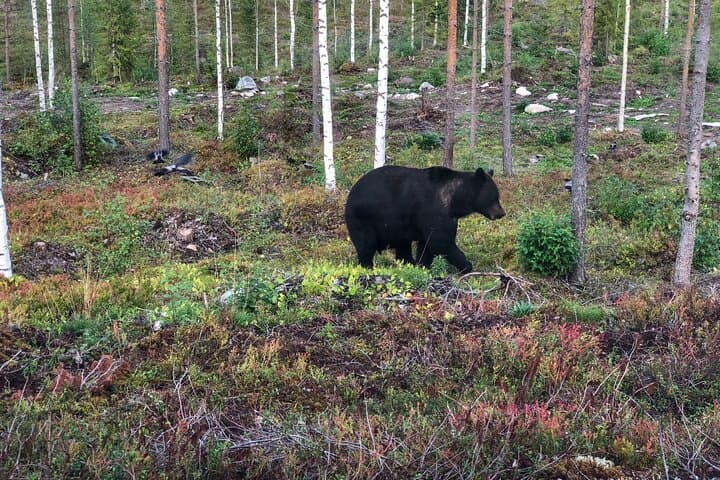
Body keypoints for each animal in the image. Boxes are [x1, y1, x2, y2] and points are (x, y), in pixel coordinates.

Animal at [344, 165, 505, 273]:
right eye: (494, 196)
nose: (501, 213)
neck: (455, 201)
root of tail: (351, 193)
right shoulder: (435, 211)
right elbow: (441, 242)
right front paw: (467, 265)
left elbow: (427, 245)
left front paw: (423, 265)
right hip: (364, 218)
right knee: (366, 244)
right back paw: (367, 266)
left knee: (402, 246)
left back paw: (408, 262)